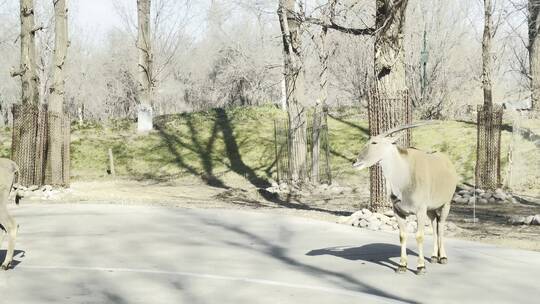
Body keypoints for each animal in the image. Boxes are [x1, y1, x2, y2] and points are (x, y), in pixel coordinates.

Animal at [352, 121, 458, 276]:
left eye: (374, 142)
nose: (355, 162)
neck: (405, 175)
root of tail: (448, 163)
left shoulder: (419, 211)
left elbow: (419, 235)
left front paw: (420, 267)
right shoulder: (399, 212)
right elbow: (402, 235)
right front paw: (402, 265)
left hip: (446, 205)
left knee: (441, 226)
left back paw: (443, 257)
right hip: (430, 210)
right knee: (434, 225)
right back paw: (434, 256)